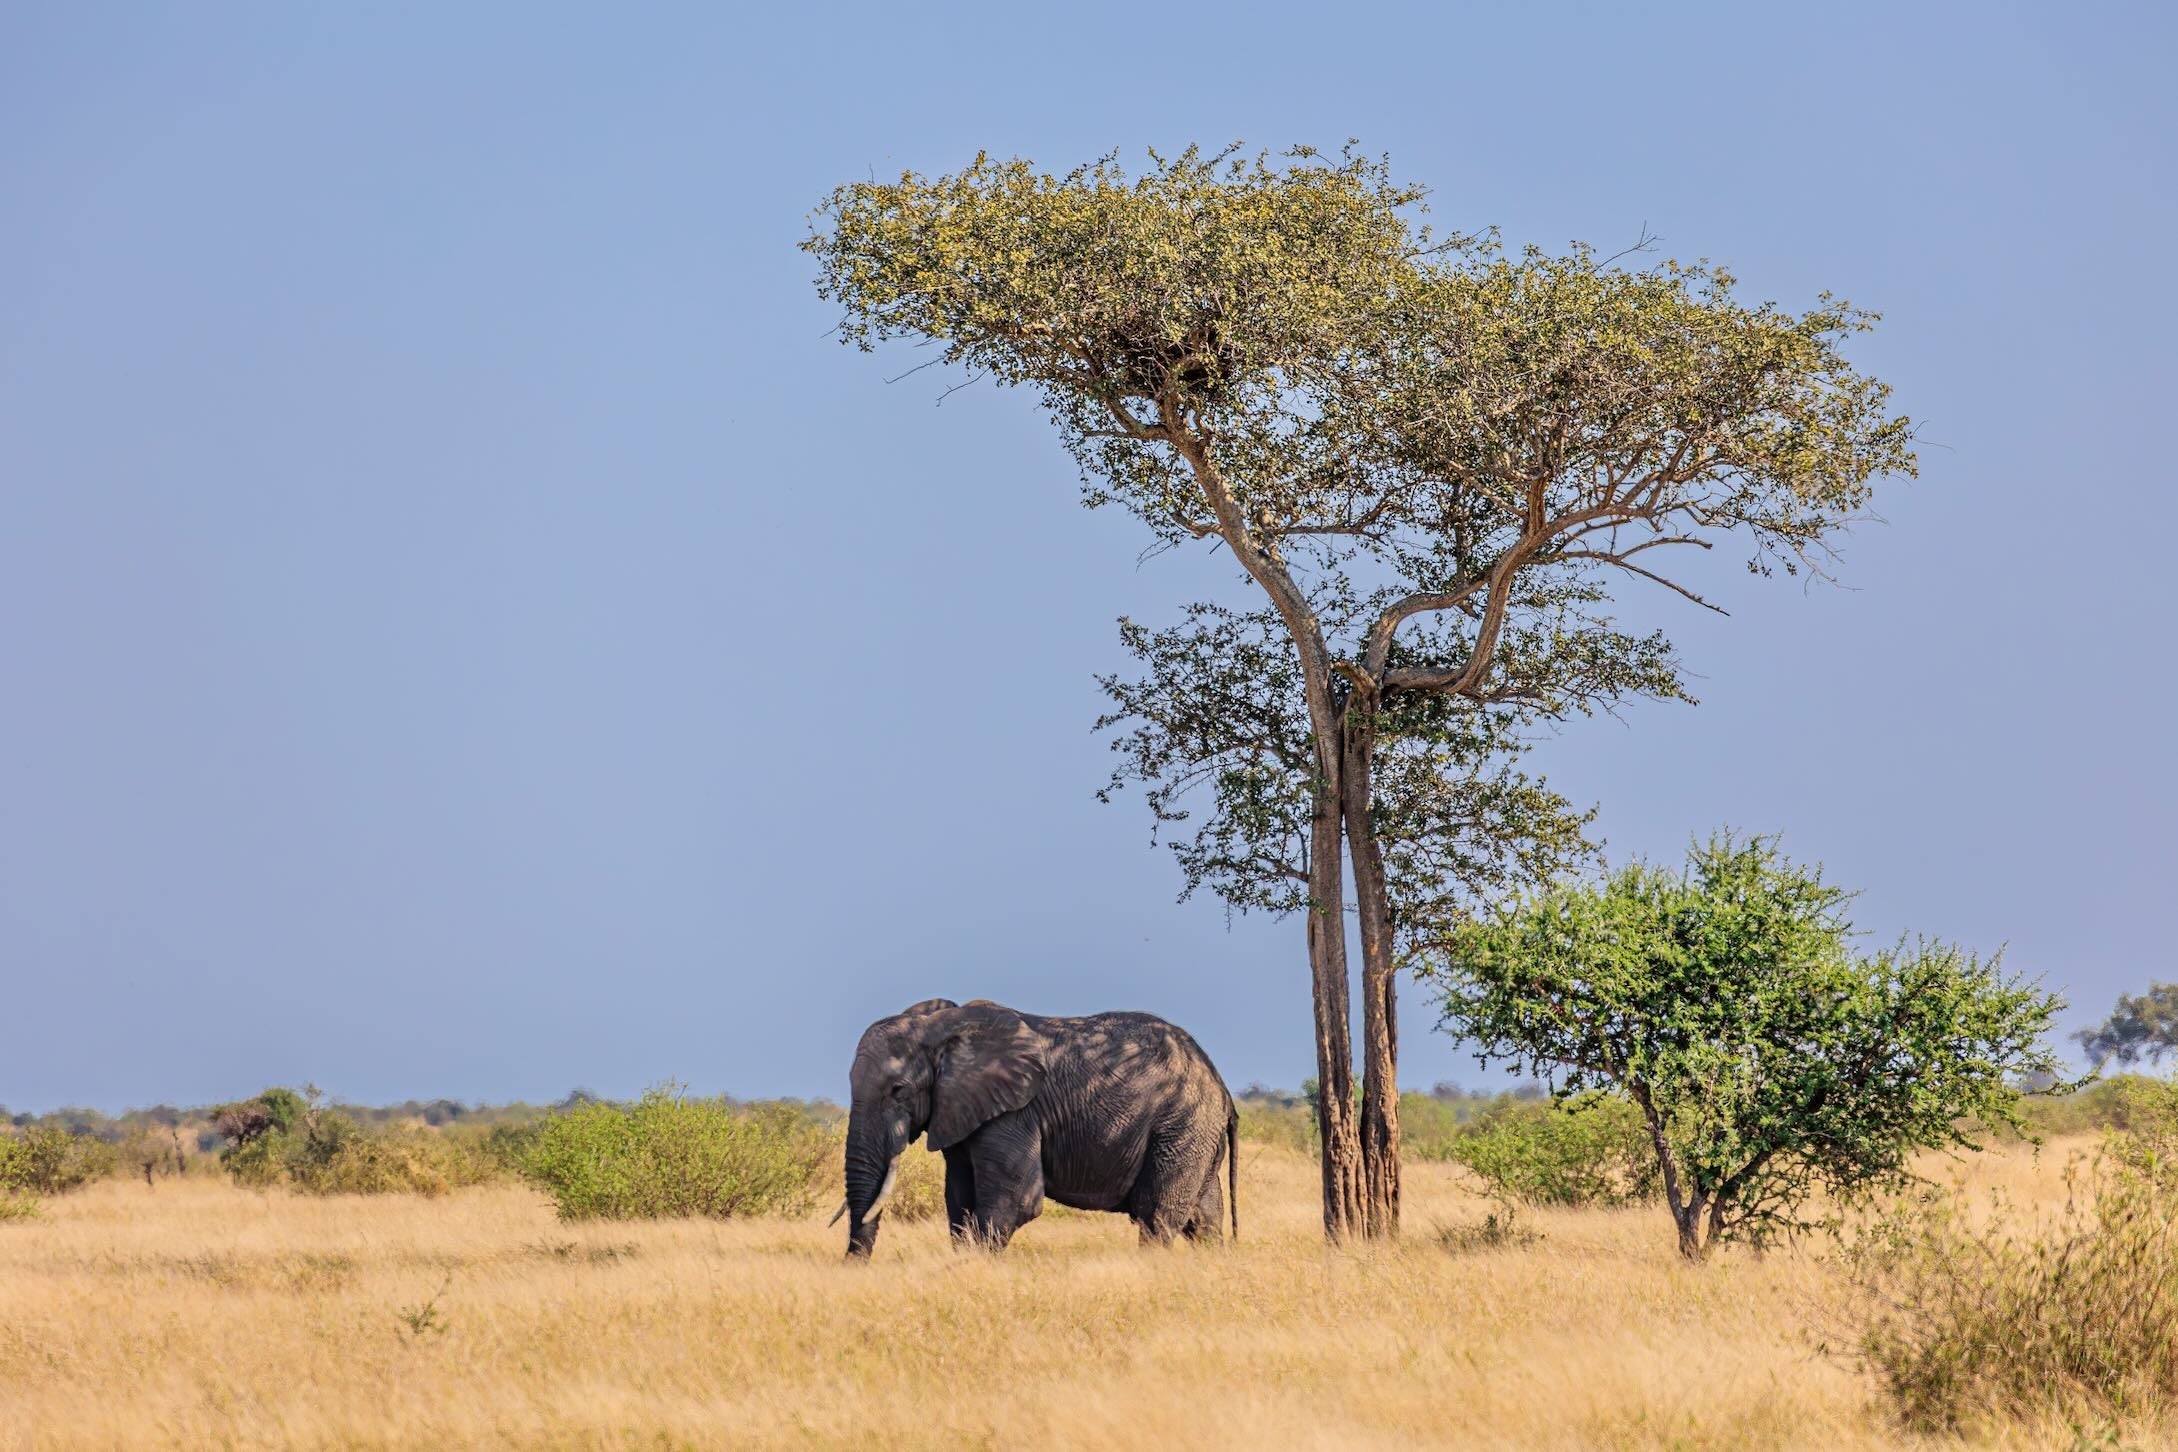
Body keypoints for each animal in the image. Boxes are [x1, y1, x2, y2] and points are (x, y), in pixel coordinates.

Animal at [831, 997, 1237, 1259]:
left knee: (1157, 1215)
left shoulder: (1014, 1113)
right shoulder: (960, 1112)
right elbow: (959, 1200)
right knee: (1204, 1220)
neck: (942, 1026)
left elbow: (1016, 1201)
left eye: (898, 1090)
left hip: (1181, 1125)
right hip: (1195, 1134)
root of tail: (1221, 1085)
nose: (853, 1265)